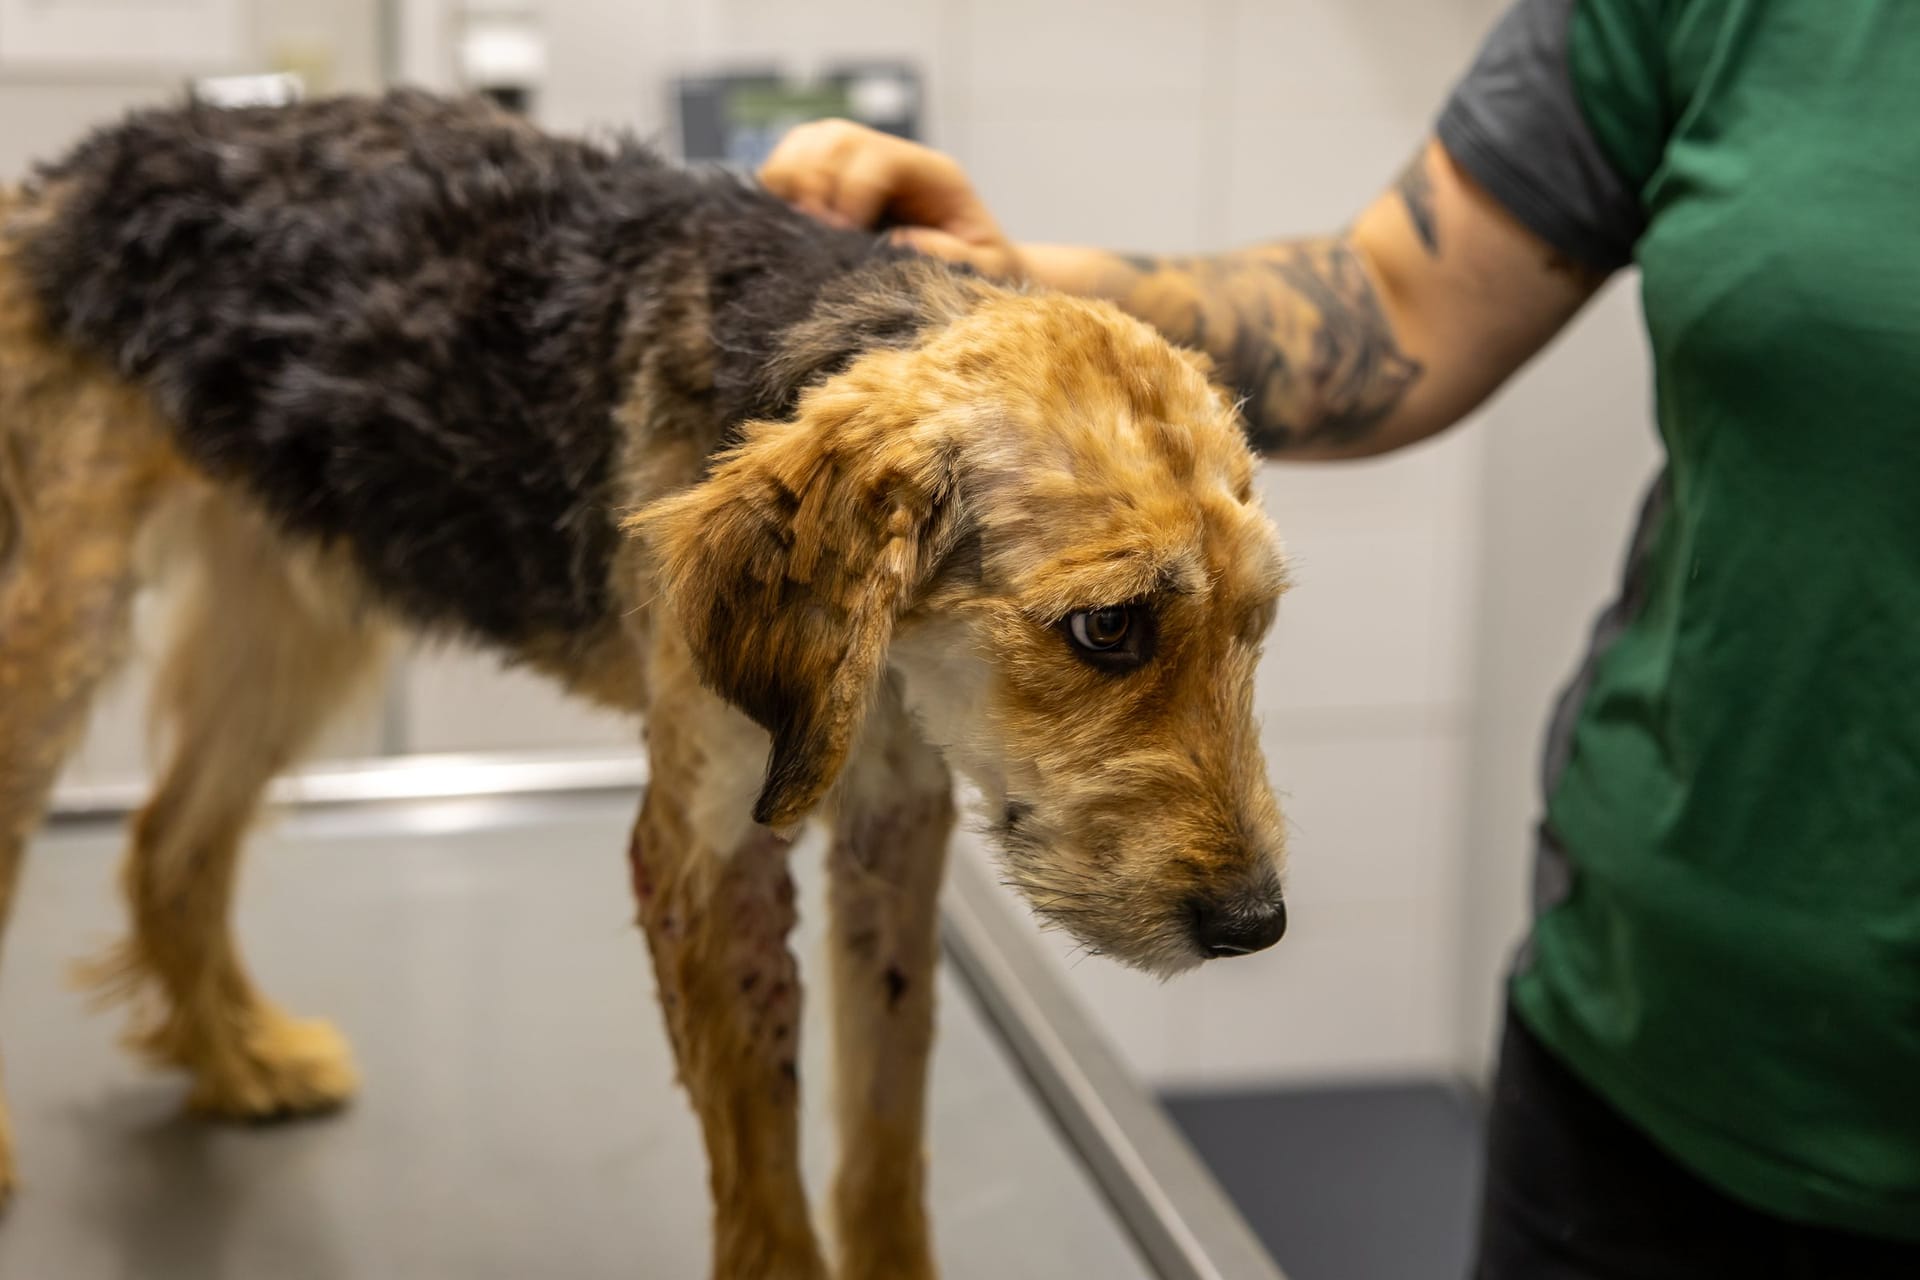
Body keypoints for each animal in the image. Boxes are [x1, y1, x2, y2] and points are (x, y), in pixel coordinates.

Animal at [0, 92, 1297, 1280]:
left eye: (1259, 625)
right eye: (1107, 625)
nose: (1255, 924)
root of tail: (84, 168)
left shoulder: (894, 823)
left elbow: (885, 1139)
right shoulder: (705, 850)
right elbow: (765, 1180)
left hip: (290, 614)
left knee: (170, 842)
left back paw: (240, 1058)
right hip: (59, 622)